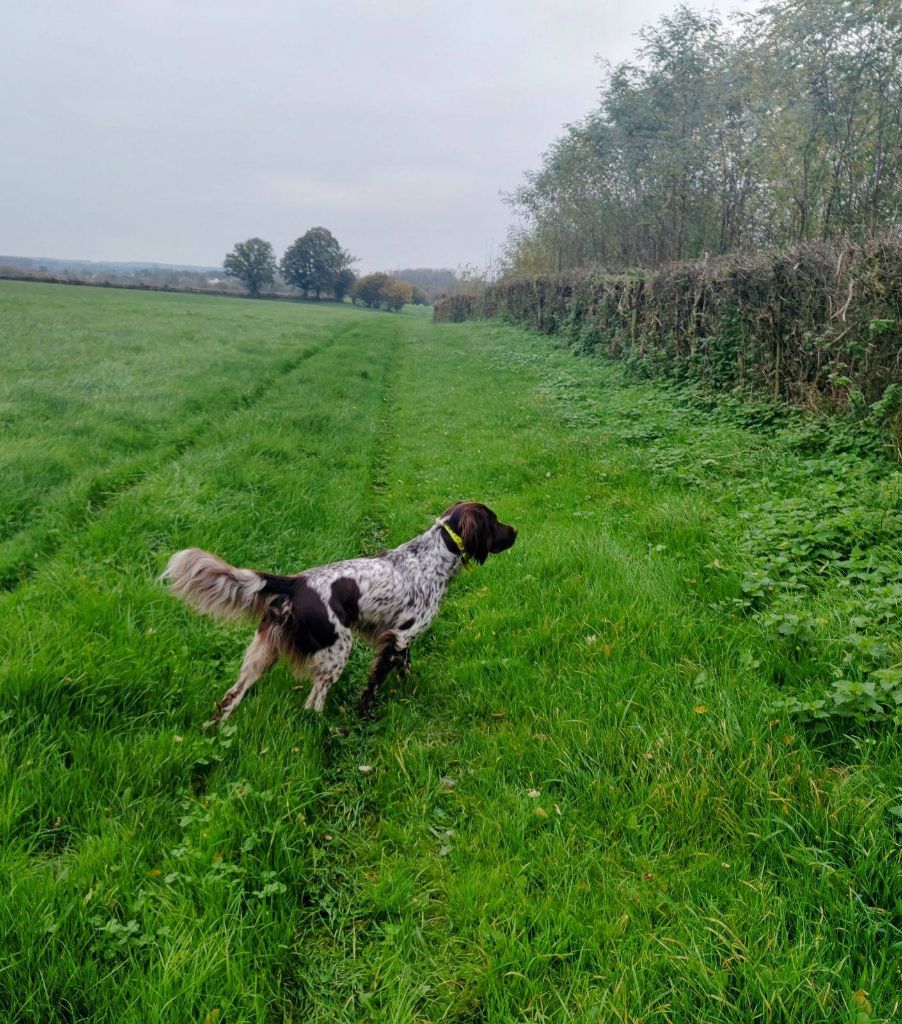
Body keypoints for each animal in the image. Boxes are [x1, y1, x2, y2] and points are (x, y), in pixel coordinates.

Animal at [158, 501, 518, 720]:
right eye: (494, 521)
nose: (516, 531)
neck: (434, 556)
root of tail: (295, 583)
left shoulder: (398, 640)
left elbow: (403, 669)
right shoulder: (399, 636)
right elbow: (378, 680)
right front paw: (365, 712)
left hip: (263, 653)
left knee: (230, 697)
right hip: (337, 650)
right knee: (312, 704)